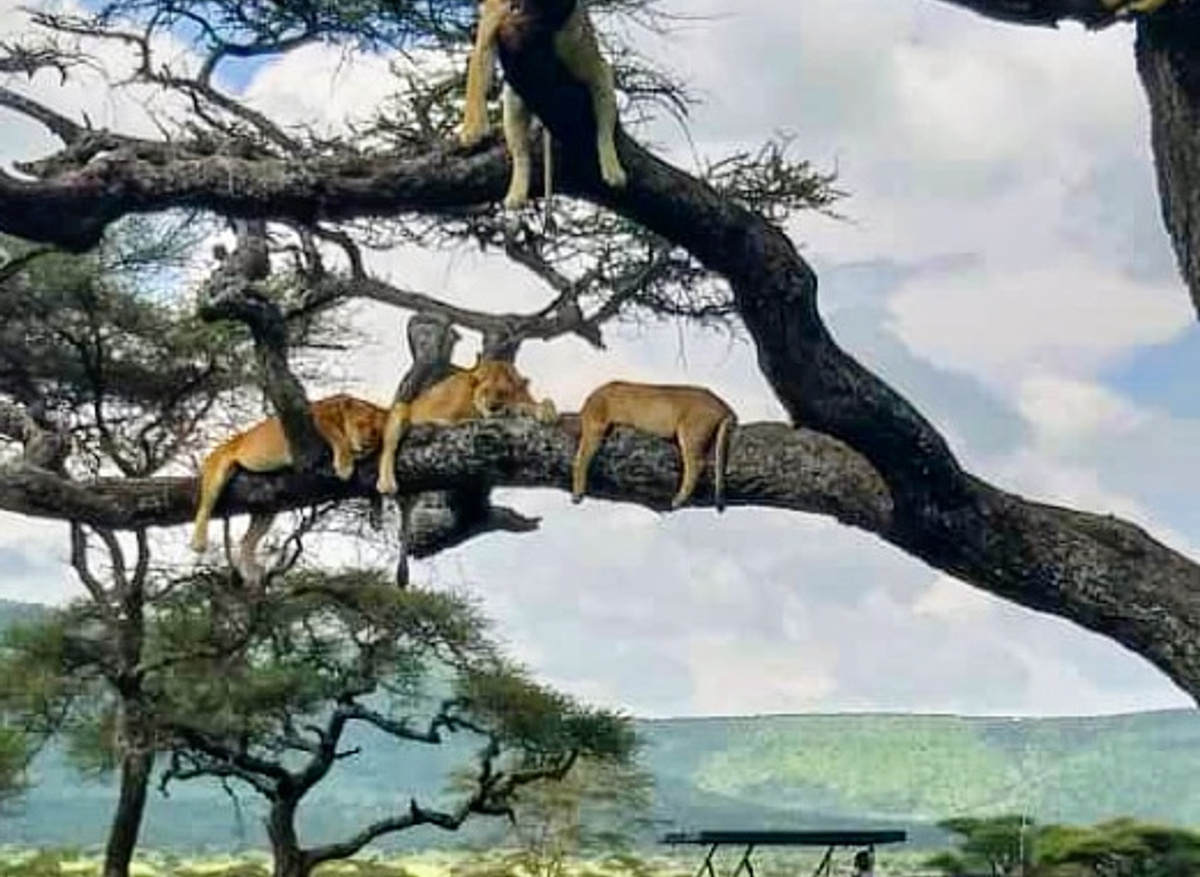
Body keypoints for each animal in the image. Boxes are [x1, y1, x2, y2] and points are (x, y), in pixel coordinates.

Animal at [190, 394, 388, 583]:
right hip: (218, 466)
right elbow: (338, 436)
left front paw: (377, 512)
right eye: (360, 424)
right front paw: (345, 465)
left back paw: (250, 571)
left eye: (377, 432)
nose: (367, 444)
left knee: (247, 539)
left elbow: (374, 487)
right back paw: (198, 542)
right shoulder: (318, 416)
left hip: (266, 510)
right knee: (205, 505)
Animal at [375, 357, 557, 496]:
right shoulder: (446, 412)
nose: (493, 407)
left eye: (503, 392)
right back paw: (387, 483)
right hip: (401, 409)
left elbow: (543, 401)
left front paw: (546, 411)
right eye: (485, 391)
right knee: (388, 449)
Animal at [459, 0, 627, 210]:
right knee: (521, 154)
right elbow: (476, 75)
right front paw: (471, 132)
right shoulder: (492, 25)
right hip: (514, 97)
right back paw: (516, 195)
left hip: (593, 70)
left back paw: (614, 172)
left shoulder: (576, 40)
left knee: (604, 124)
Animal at [571, 380, 736, 512]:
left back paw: (678, 500)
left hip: (691, 433)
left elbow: (581, 459)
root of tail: (724, 406)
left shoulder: (595, 425)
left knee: (696, 464)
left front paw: (577, 493)